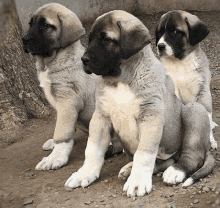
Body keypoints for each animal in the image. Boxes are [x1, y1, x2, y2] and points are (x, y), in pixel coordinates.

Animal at [22, 3, 122, 171]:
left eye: (45, 25)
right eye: (31, 24)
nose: (24, 39)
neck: (54, 59)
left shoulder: (67, 100)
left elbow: (62, 132)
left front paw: (55, 157)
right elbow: (63, 127)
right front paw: (54, 144)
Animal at [156, 10, 217, 150]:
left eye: (175, 32)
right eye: (160, 32)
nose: (159, 46)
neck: (181, 63)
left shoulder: (202, 91)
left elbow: (206, 114)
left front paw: (210, 139)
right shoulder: (173, 92)